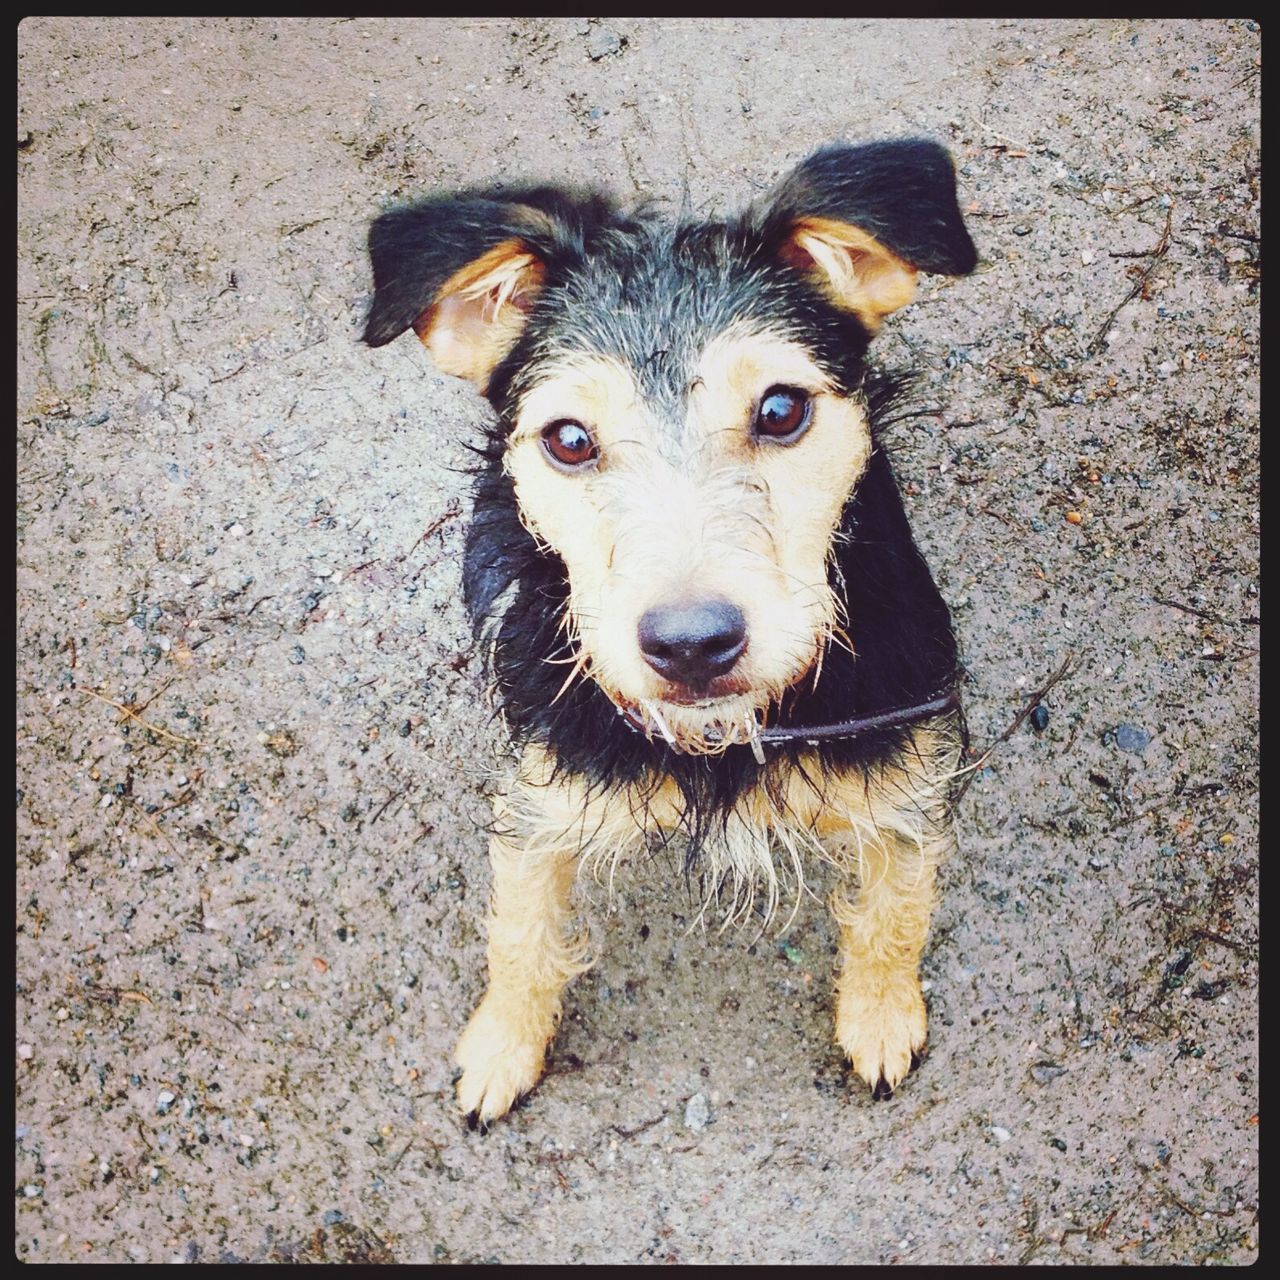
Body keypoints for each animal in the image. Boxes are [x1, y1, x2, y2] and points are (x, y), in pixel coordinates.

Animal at [366, 140, 972, 1121]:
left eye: (780, 409)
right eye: (569, 439)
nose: (691, 645)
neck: (727, 737)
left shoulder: (906, 754)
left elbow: (896, 906)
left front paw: (880, 1014)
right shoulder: (546, 783)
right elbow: (521, 929)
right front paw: (501, 1044)